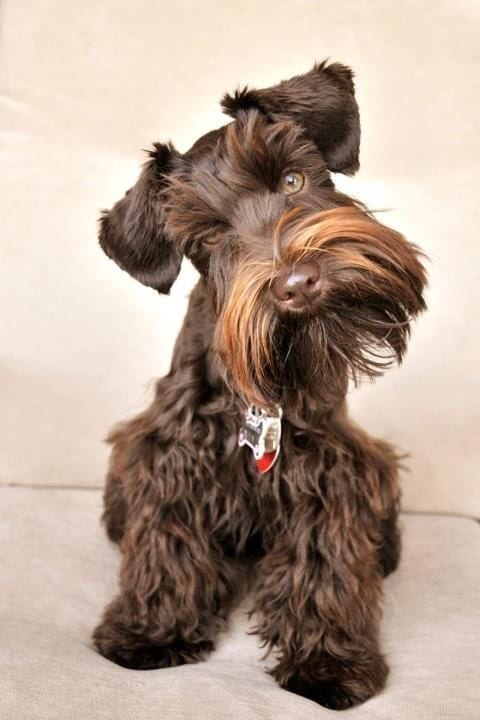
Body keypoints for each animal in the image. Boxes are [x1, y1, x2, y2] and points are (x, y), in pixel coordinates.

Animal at [92, 60, 426, 708]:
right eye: (208, 237)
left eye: (293, 179)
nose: (297, 283)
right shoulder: (170, 456)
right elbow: (167, 538)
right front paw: (151, 632)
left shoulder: (328, 470)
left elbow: (323, 558)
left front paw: (328, 661)